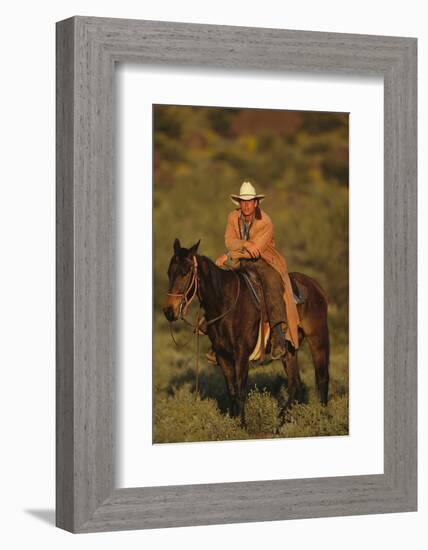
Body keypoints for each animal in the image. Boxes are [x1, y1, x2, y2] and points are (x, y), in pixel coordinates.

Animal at [162, 240, 330, 426]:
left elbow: (241, 390)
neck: (226, 303)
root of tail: (316, 286)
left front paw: (242, 425)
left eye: (185, 272)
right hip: (290, 350)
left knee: (322, 378)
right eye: (169, 272)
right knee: (295, 385)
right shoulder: (223, 356)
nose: (169, 311)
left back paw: (320, 416)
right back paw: (279, 422)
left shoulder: (241, 355)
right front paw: (233, 422)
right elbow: (232, 391)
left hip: (318, 339)